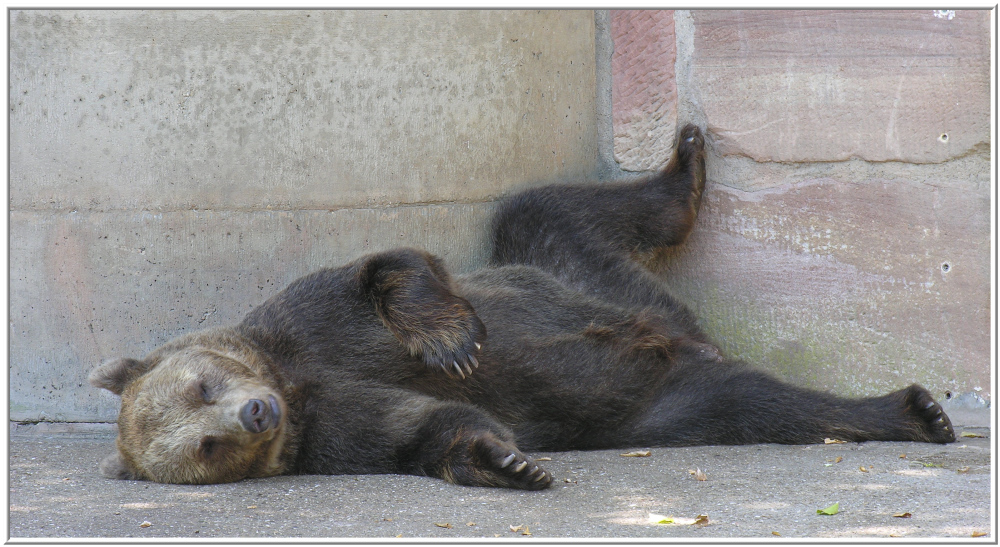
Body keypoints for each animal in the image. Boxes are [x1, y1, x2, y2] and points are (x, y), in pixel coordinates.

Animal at [86, 125, 952, 492]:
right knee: (756, 403)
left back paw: (685, 163)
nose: (255, 414)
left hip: (569, 272)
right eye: (203, 444)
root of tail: (681, 332)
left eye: (201, 384)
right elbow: (420, 428)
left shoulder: (308, 324)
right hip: (653, 400)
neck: (292, 381)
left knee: (546, 210)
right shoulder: (333, 430)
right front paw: (507, 460)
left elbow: (386, 271)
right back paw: (912, 411)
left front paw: (450, 340)